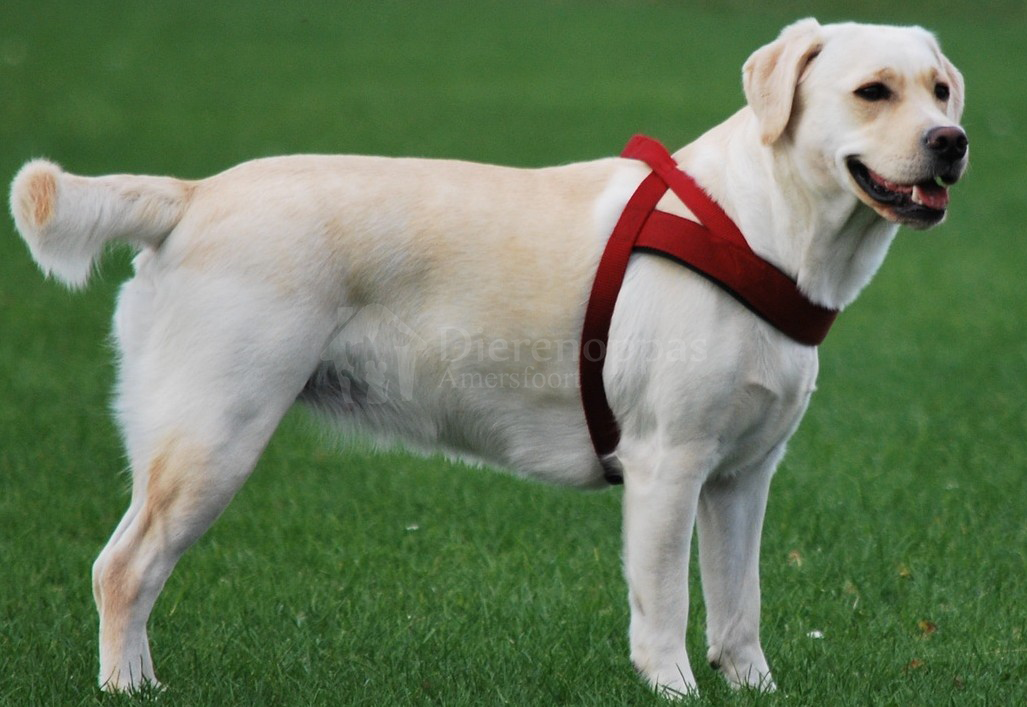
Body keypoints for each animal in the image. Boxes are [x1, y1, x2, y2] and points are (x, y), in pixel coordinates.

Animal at [12, 15, 965, 694]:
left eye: (942, 91)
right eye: (873, 91)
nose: (950, 142)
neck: (761, 226)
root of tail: (193, 194)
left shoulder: (741, 476)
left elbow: (739, 608)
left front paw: (752, 685)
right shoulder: (667, 462)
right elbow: (664, 604)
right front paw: (673, 687)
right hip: (212, 437)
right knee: (122, 568)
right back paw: (128, 686)